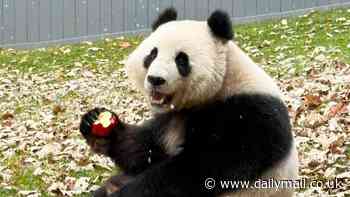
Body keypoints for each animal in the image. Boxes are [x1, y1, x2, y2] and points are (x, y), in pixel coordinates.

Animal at [79, 7, 298, 197]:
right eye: (152, 54)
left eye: (181, 60)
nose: (155, 79)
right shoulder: (167, 119)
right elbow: (146, 150)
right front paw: (96, 126)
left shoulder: (248, 115)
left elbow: (199, 169)